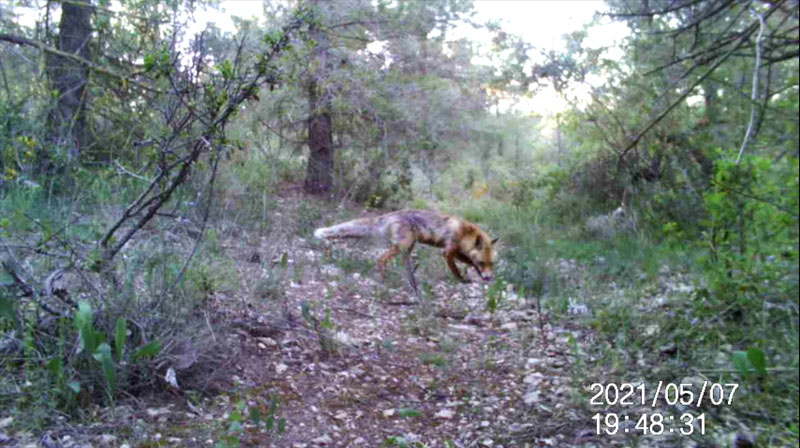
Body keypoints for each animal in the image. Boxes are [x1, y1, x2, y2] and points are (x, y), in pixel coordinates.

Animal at [310, 211, 494, 284]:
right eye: (482, 262)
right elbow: (456, 268)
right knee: (380, 258)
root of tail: (389, 215)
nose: (489, 278)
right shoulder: (448, 250)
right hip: (402, 246)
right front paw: (462, 279)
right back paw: (384, 277)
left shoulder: (456, 251)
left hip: (408, 247)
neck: (465, 233)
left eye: (490, 263)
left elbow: (467, 261)